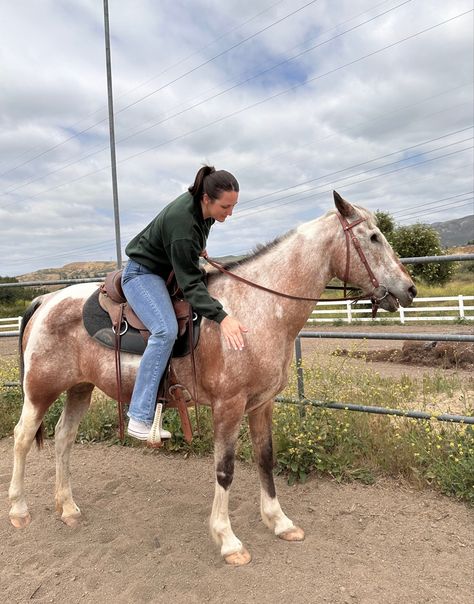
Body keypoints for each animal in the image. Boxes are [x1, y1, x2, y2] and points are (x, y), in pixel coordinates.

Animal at [7, 192, 414, 568]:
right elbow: (225, 469)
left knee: (63, 438)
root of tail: (46, 300)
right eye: (373, 237)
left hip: (79, 388)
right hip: (39, 391)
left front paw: (279, 522)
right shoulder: (228, 405)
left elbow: (265, 458)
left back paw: (68, 508)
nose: (409, 289)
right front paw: (228, 540)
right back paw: (19, 510)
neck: (254, 309)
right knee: (23, 437)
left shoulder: (262, 404)